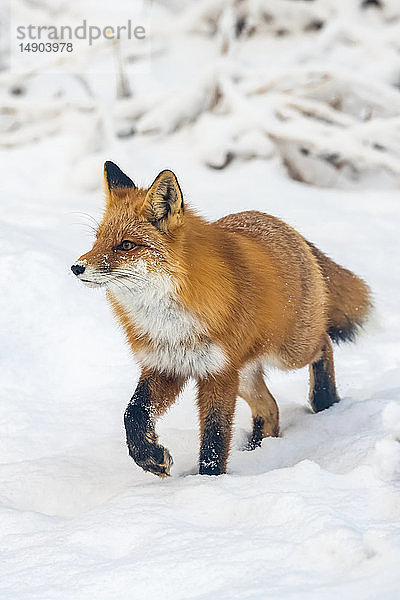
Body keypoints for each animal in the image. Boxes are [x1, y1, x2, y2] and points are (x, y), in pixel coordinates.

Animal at [71, 161, 372, 478]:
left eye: (126, 245)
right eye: (97, 239)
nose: (76, 267)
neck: (171, 324)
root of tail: (286, 227)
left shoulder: (219, 372)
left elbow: (214, 435)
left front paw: (209, 480)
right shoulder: (165, 365)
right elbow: (133, 413)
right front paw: (149, 457)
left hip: (287, 353)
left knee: (324, 342)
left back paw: (325, 400)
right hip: (245, 372)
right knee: (270, 408)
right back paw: (257, 449)